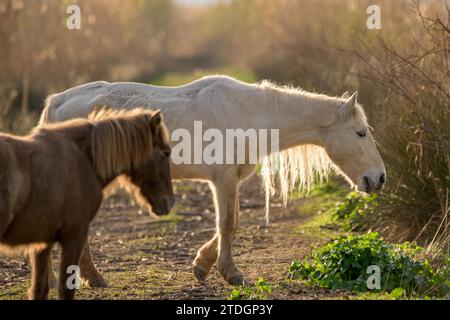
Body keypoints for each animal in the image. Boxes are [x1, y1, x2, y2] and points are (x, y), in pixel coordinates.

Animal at [0, 108, 174, 300]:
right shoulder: (74, 235)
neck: (84, 159)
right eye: (166, 152)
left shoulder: (43, 243)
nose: (169, 202)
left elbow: (40, 289)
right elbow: (65, 289)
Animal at [39, 75, 386, 284]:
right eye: (360, 133)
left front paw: (202, 264)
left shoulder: (230, 180)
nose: (379, 178)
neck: (249, 113)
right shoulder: (223, 180)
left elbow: (230, 224)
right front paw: (231, 273)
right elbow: (228, 223)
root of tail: (58, 101)